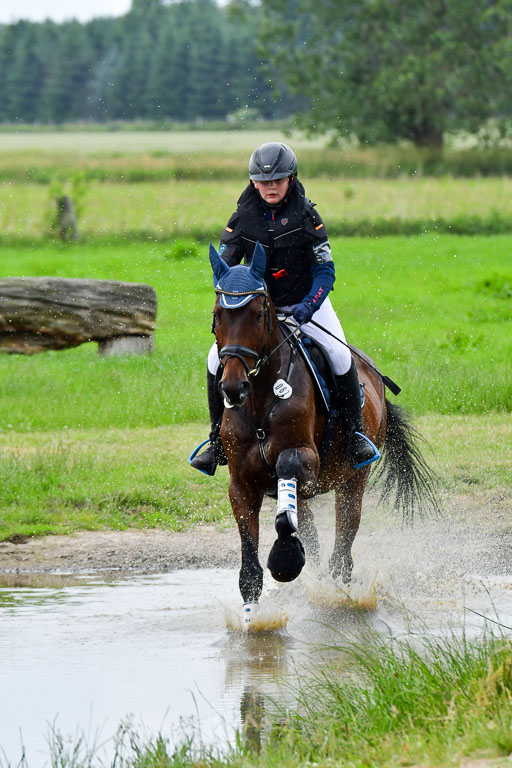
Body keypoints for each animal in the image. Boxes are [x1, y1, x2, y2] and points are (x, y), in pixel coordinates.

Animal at [204, 242, 438, 628]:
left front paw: (285, 560)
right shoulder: (241, 483)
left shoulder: (306, 460)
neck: (260, 400)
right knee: (309, 532)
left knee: (344, 539)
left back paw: (338, 592)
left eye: (258, 313)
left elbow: (287, 478)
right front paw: (252, 618)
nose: (233, 388)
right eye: (217, 315)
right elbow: (251, 558)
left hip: (353, 480)